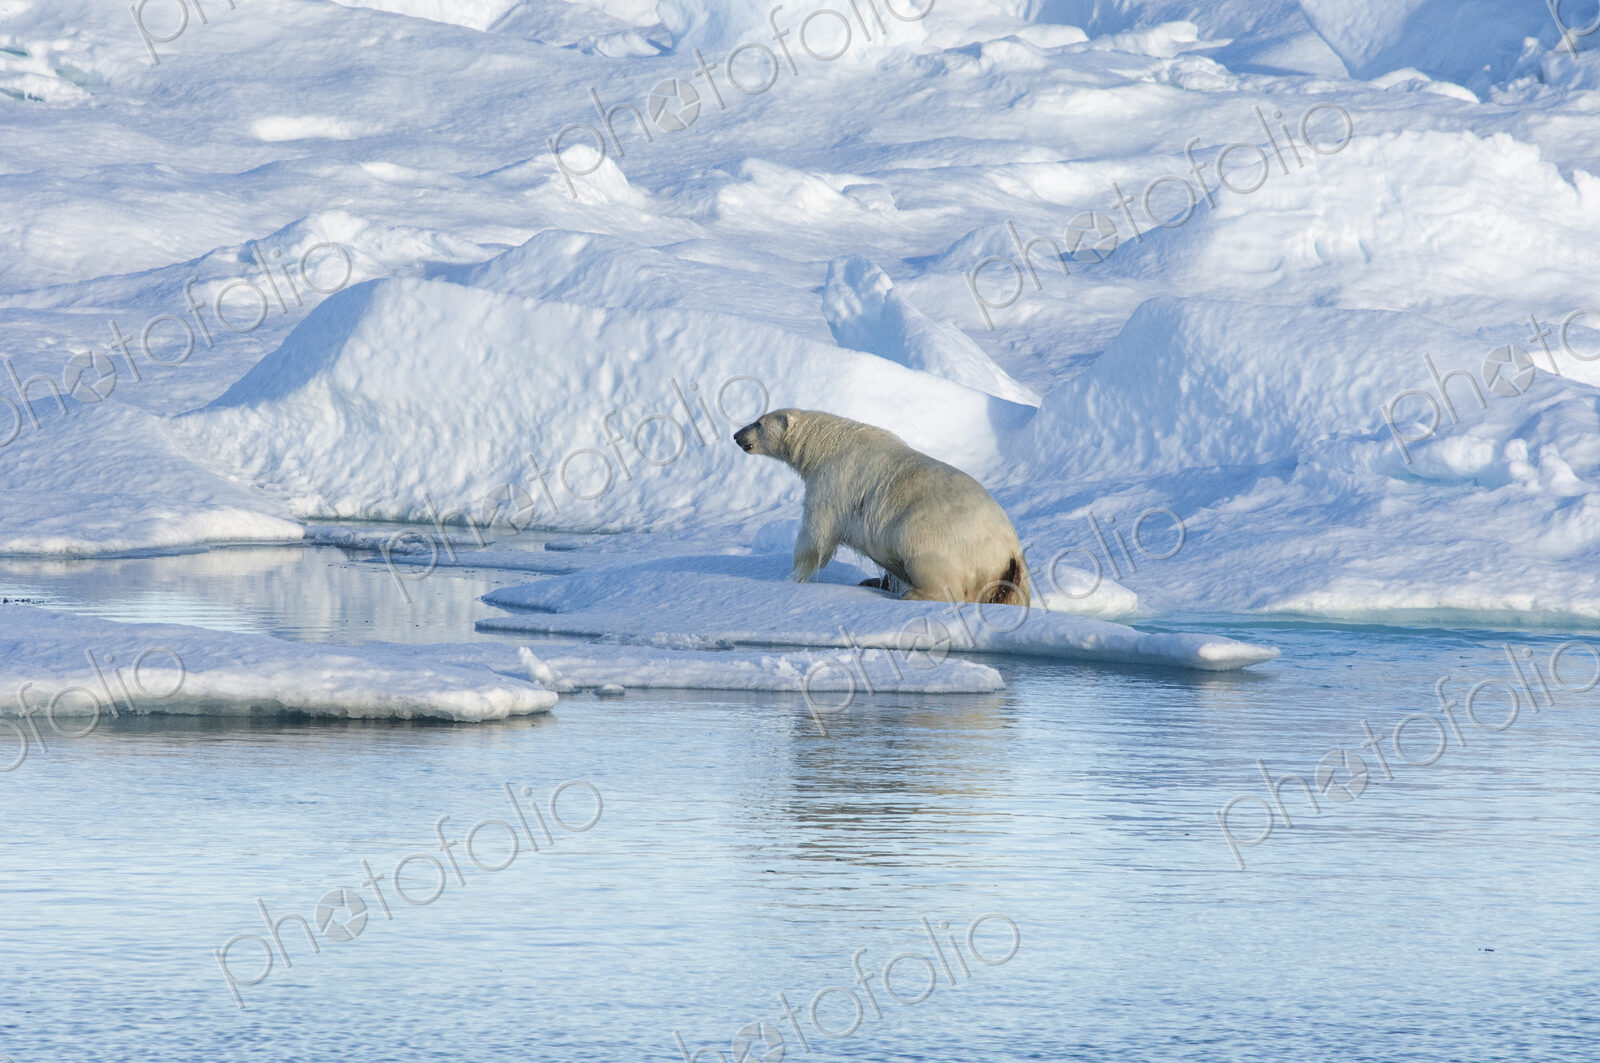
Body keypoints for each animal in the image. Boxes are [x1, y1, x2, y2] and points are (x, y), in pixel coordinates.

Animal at [733, 408, 1030, 607]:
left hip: (940, 534)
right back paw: (875, 582)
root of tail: (1009, 549)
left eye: (758, 422)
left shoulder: (834, 481)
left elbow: (815, 534)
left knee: (928, 559)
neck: (827, 443)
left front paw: (790, 579)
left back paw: (914, 593)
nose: (736, 435)